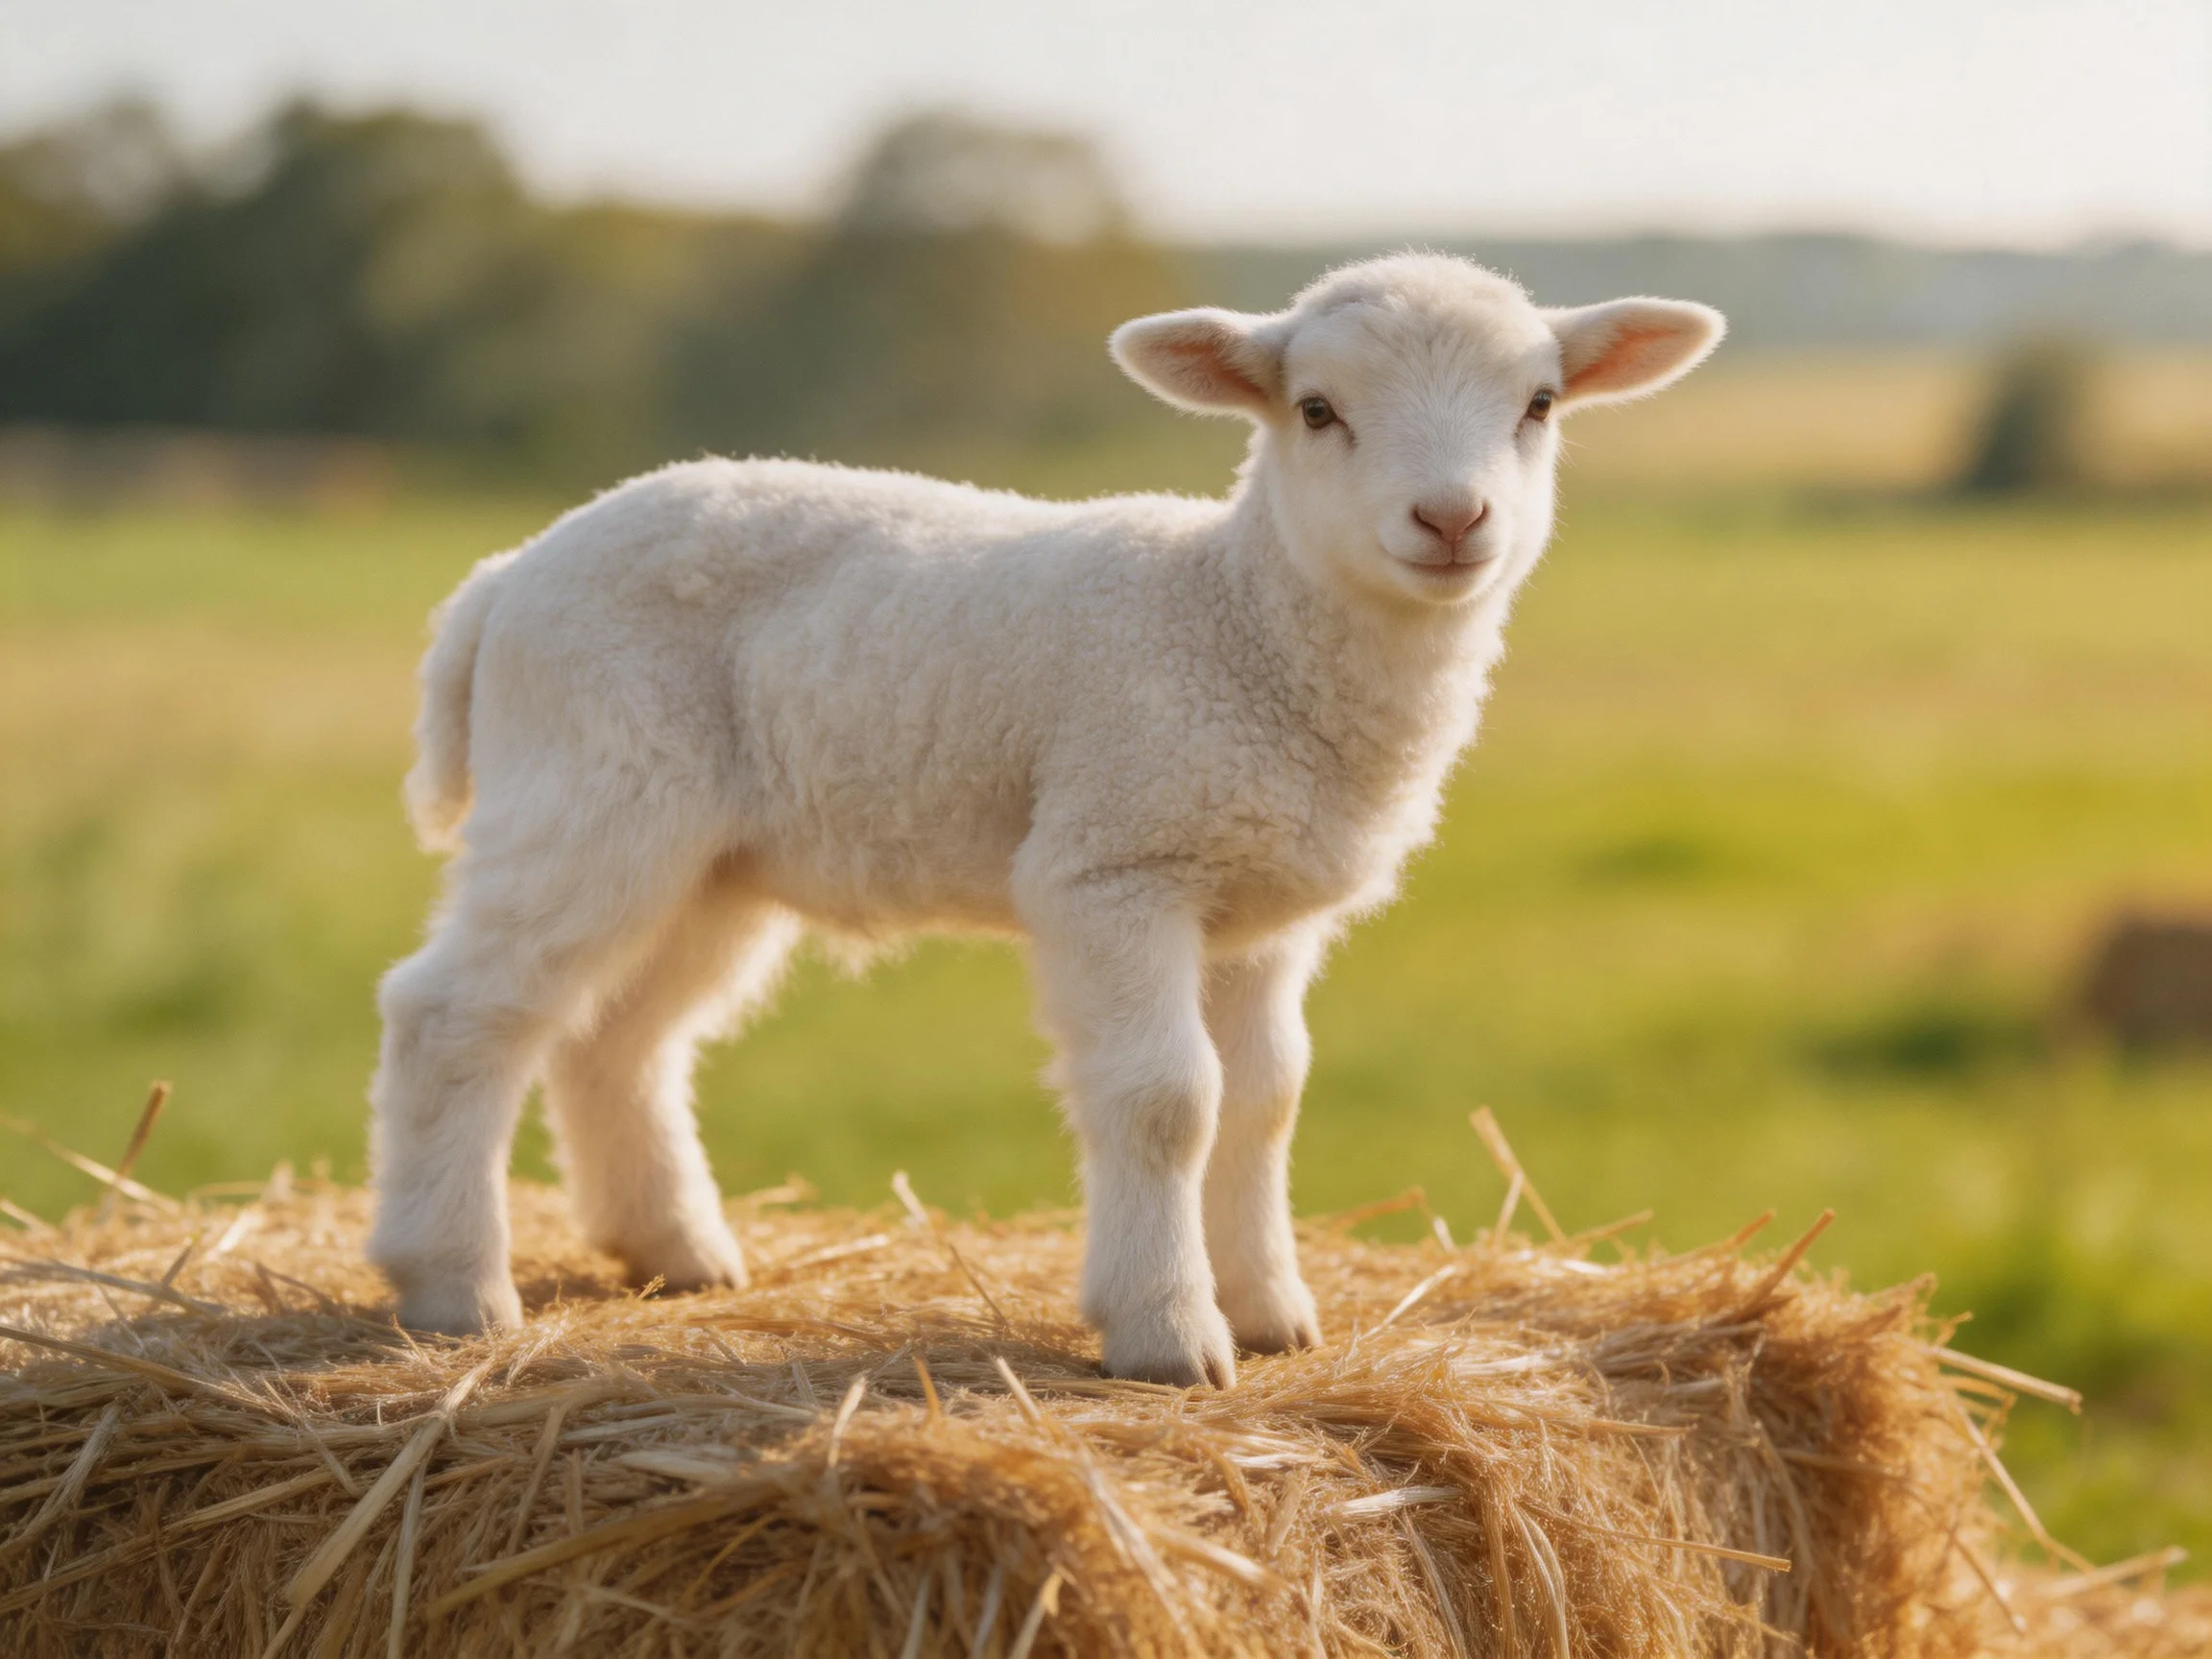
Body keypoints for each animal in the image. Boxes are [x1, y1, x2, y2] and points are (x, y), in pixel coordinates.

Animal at [368, 253, 1723, 1387]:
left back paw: (675, 1252)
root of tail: (506, 577)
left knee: (617, 1040)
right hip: (594, 786)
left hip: (712, 858)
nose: (1450, 520)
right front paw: (1170, 1331)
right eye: (1317, 410)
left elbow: (1266, 1096)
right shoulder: (1114, 861)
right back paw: (451, 1285)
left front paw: (1270, 1313)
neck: (1238, 621)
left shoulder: (1258, 905)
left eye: (1539, 405)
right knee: (456, 1015)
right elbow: (1171, 1099)